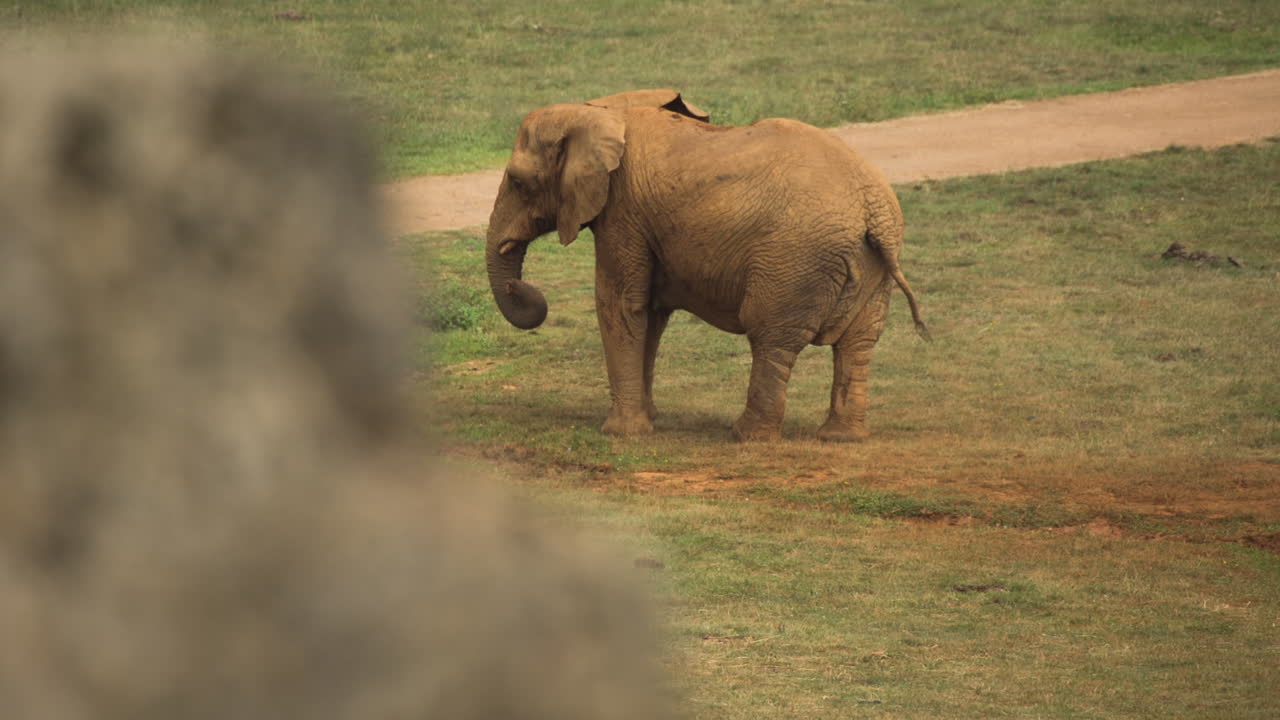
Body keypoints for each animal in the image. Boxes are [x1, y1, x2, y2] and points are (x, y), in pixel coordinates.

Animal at [485, 89, 929, 442]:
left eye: (520, 182)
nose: (517, 287)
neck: (601, 111)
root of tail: (872, 208)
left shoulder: (623, 213)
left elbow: (621, 305)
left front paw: (621, 433)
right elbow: (650, 313)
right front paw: (649, 419)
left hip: (794, 261)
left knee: (770, 338)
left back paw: (746, 435)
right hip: (871, 265)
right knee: (858, 344)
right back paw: (840, 438)